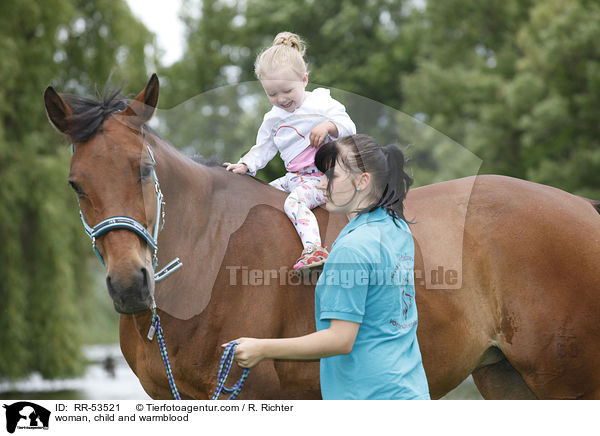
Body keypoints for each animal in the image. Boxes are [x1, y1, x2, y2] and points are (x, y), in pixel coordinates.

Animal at [44, 75, 600, 398]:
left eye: (143, 169)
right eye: (75, 184)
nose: (129, 285)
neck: (209, 255)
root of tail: (582, 208)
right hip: (506, 377)